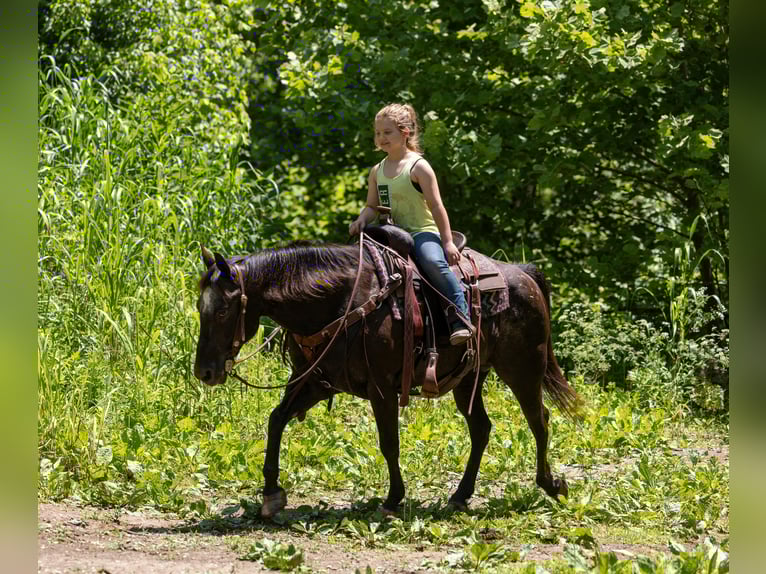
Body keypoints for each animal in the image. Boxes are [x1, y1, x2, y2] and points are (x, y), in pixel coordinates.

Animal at [193, 235, 580, 518]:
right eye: (201, 307)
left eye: (224, 309)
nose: (205, 372)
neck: (340, 303)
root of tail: (523, 273)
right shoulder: (314, 381)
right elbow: (276, 420)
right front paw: (271, 494)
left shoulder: (381, 389)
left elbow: (388, 442)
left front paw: (393, 499)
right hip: (469, 378)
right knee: (482, 428)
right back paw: (460, 495)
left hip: (523, 368)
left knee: (539, 420)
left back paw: (551, 484)